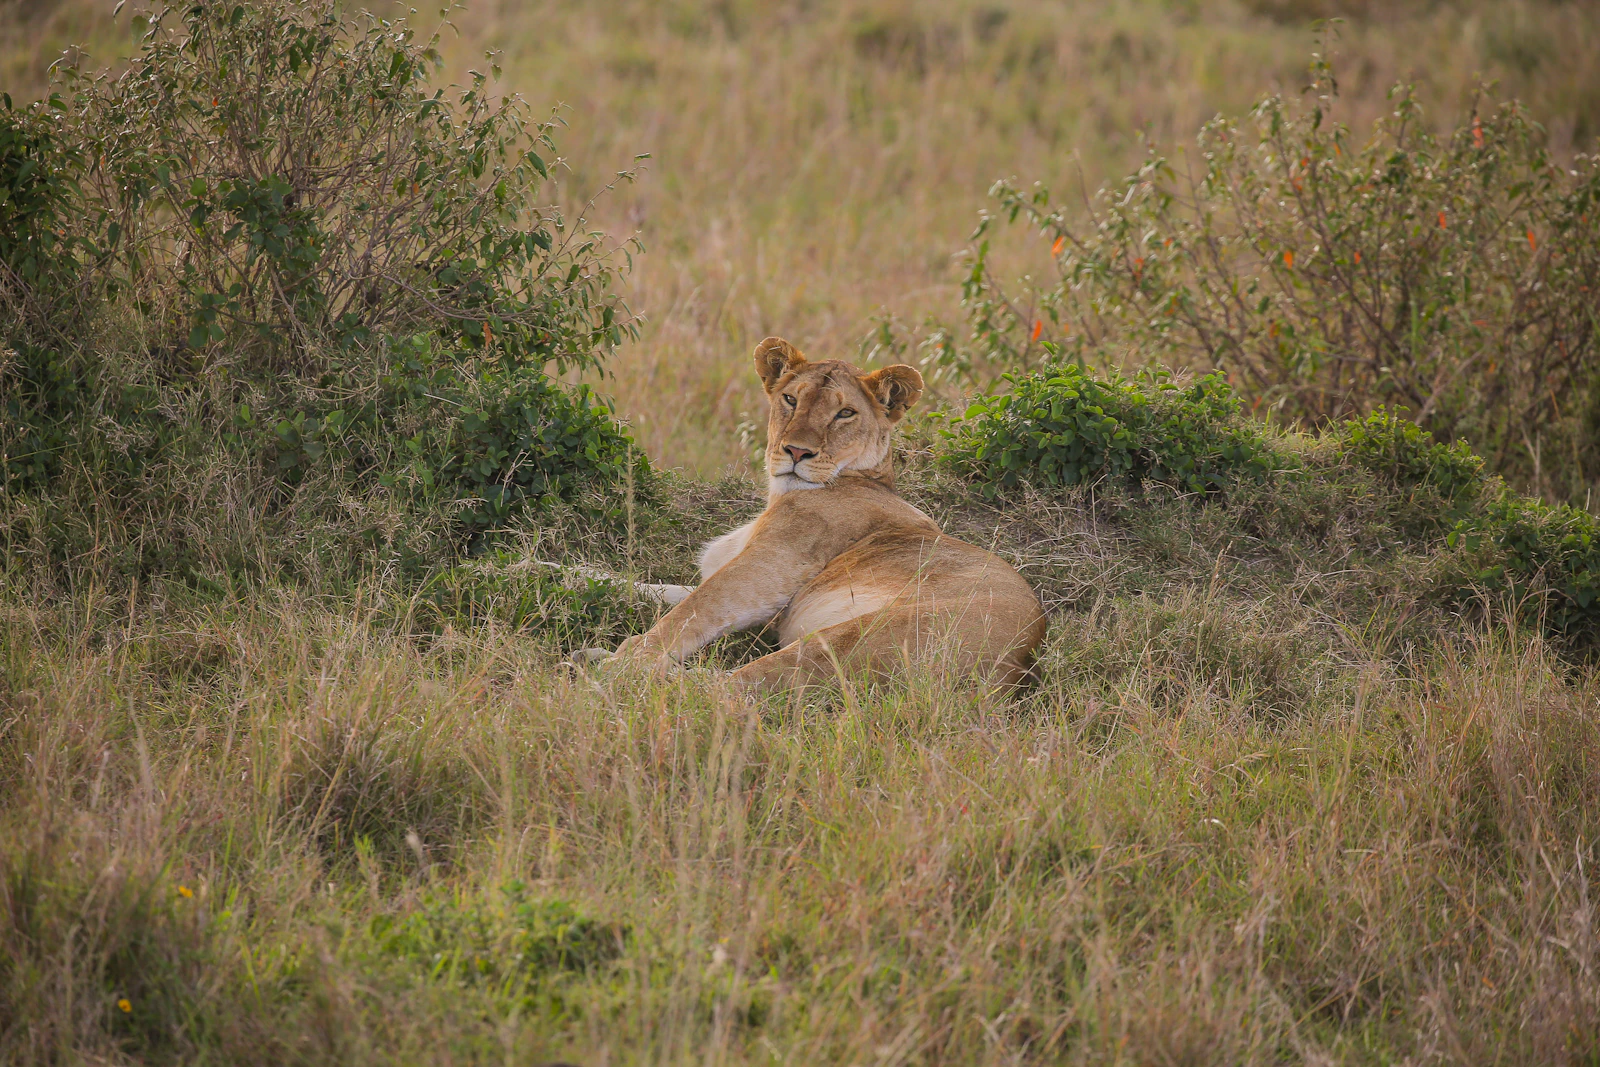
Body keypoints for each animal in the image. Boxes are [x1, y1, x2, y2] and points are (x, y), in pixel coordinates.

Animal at [608, 336, 1047, 691]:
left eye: (845, 414)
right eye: (791, 400)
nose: (797, 451)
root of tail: (1018, 671)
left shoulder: (772, 565)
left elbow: (691, 612)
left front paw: (631, 656)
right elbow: (649, 588)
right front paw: (591, 578)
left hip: (847, 640)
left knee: (727, 689)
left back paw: (604, 674)